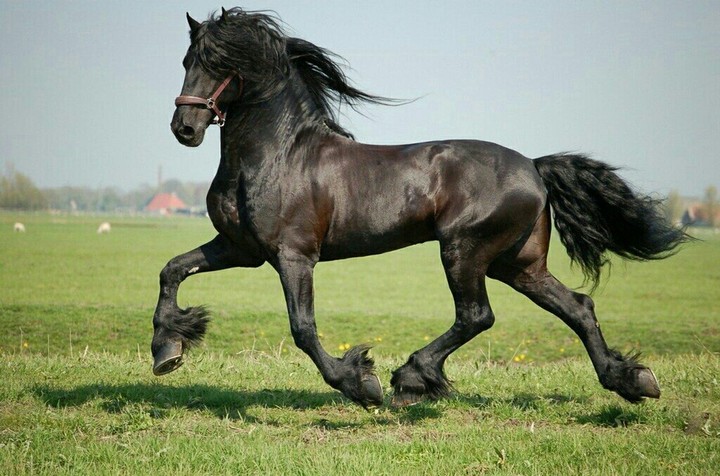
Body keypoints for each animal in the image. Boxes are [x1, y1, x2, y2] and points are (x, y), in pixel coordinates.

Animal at [152, 8, 688, 408]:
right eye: (186, 59)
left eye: (224, 64)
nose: (185, 129)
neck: (279, 154)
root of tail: (534, 168)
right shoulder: (240, 248)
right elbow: (172, 269)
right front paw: (167, 348)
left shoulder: (293, 255)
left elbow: (303, 328)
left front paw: (360, 384)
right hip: (518, 263)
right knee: (577, 307)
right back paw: (631, 381)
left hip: (464, 251)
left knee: (477, 316)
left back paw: (410, 378)